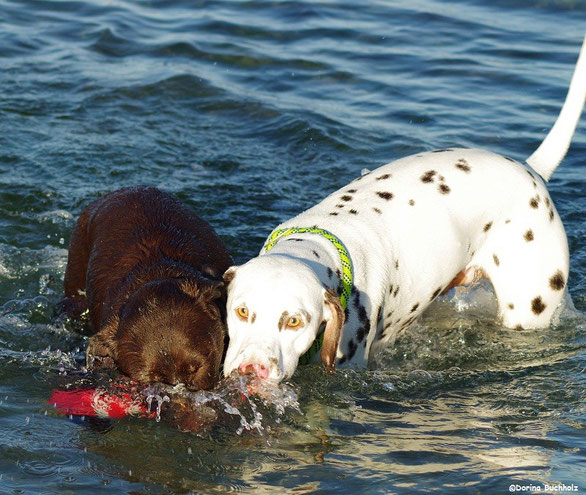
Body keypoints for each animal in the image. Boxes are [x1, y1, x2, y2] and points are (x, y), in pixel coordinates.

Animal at [220, 36, 584, 384]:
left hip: (528, 311)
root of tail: (531, 170)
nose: (251, 368)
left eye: (294, 320)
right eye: (242, 311)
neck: (321, 245)